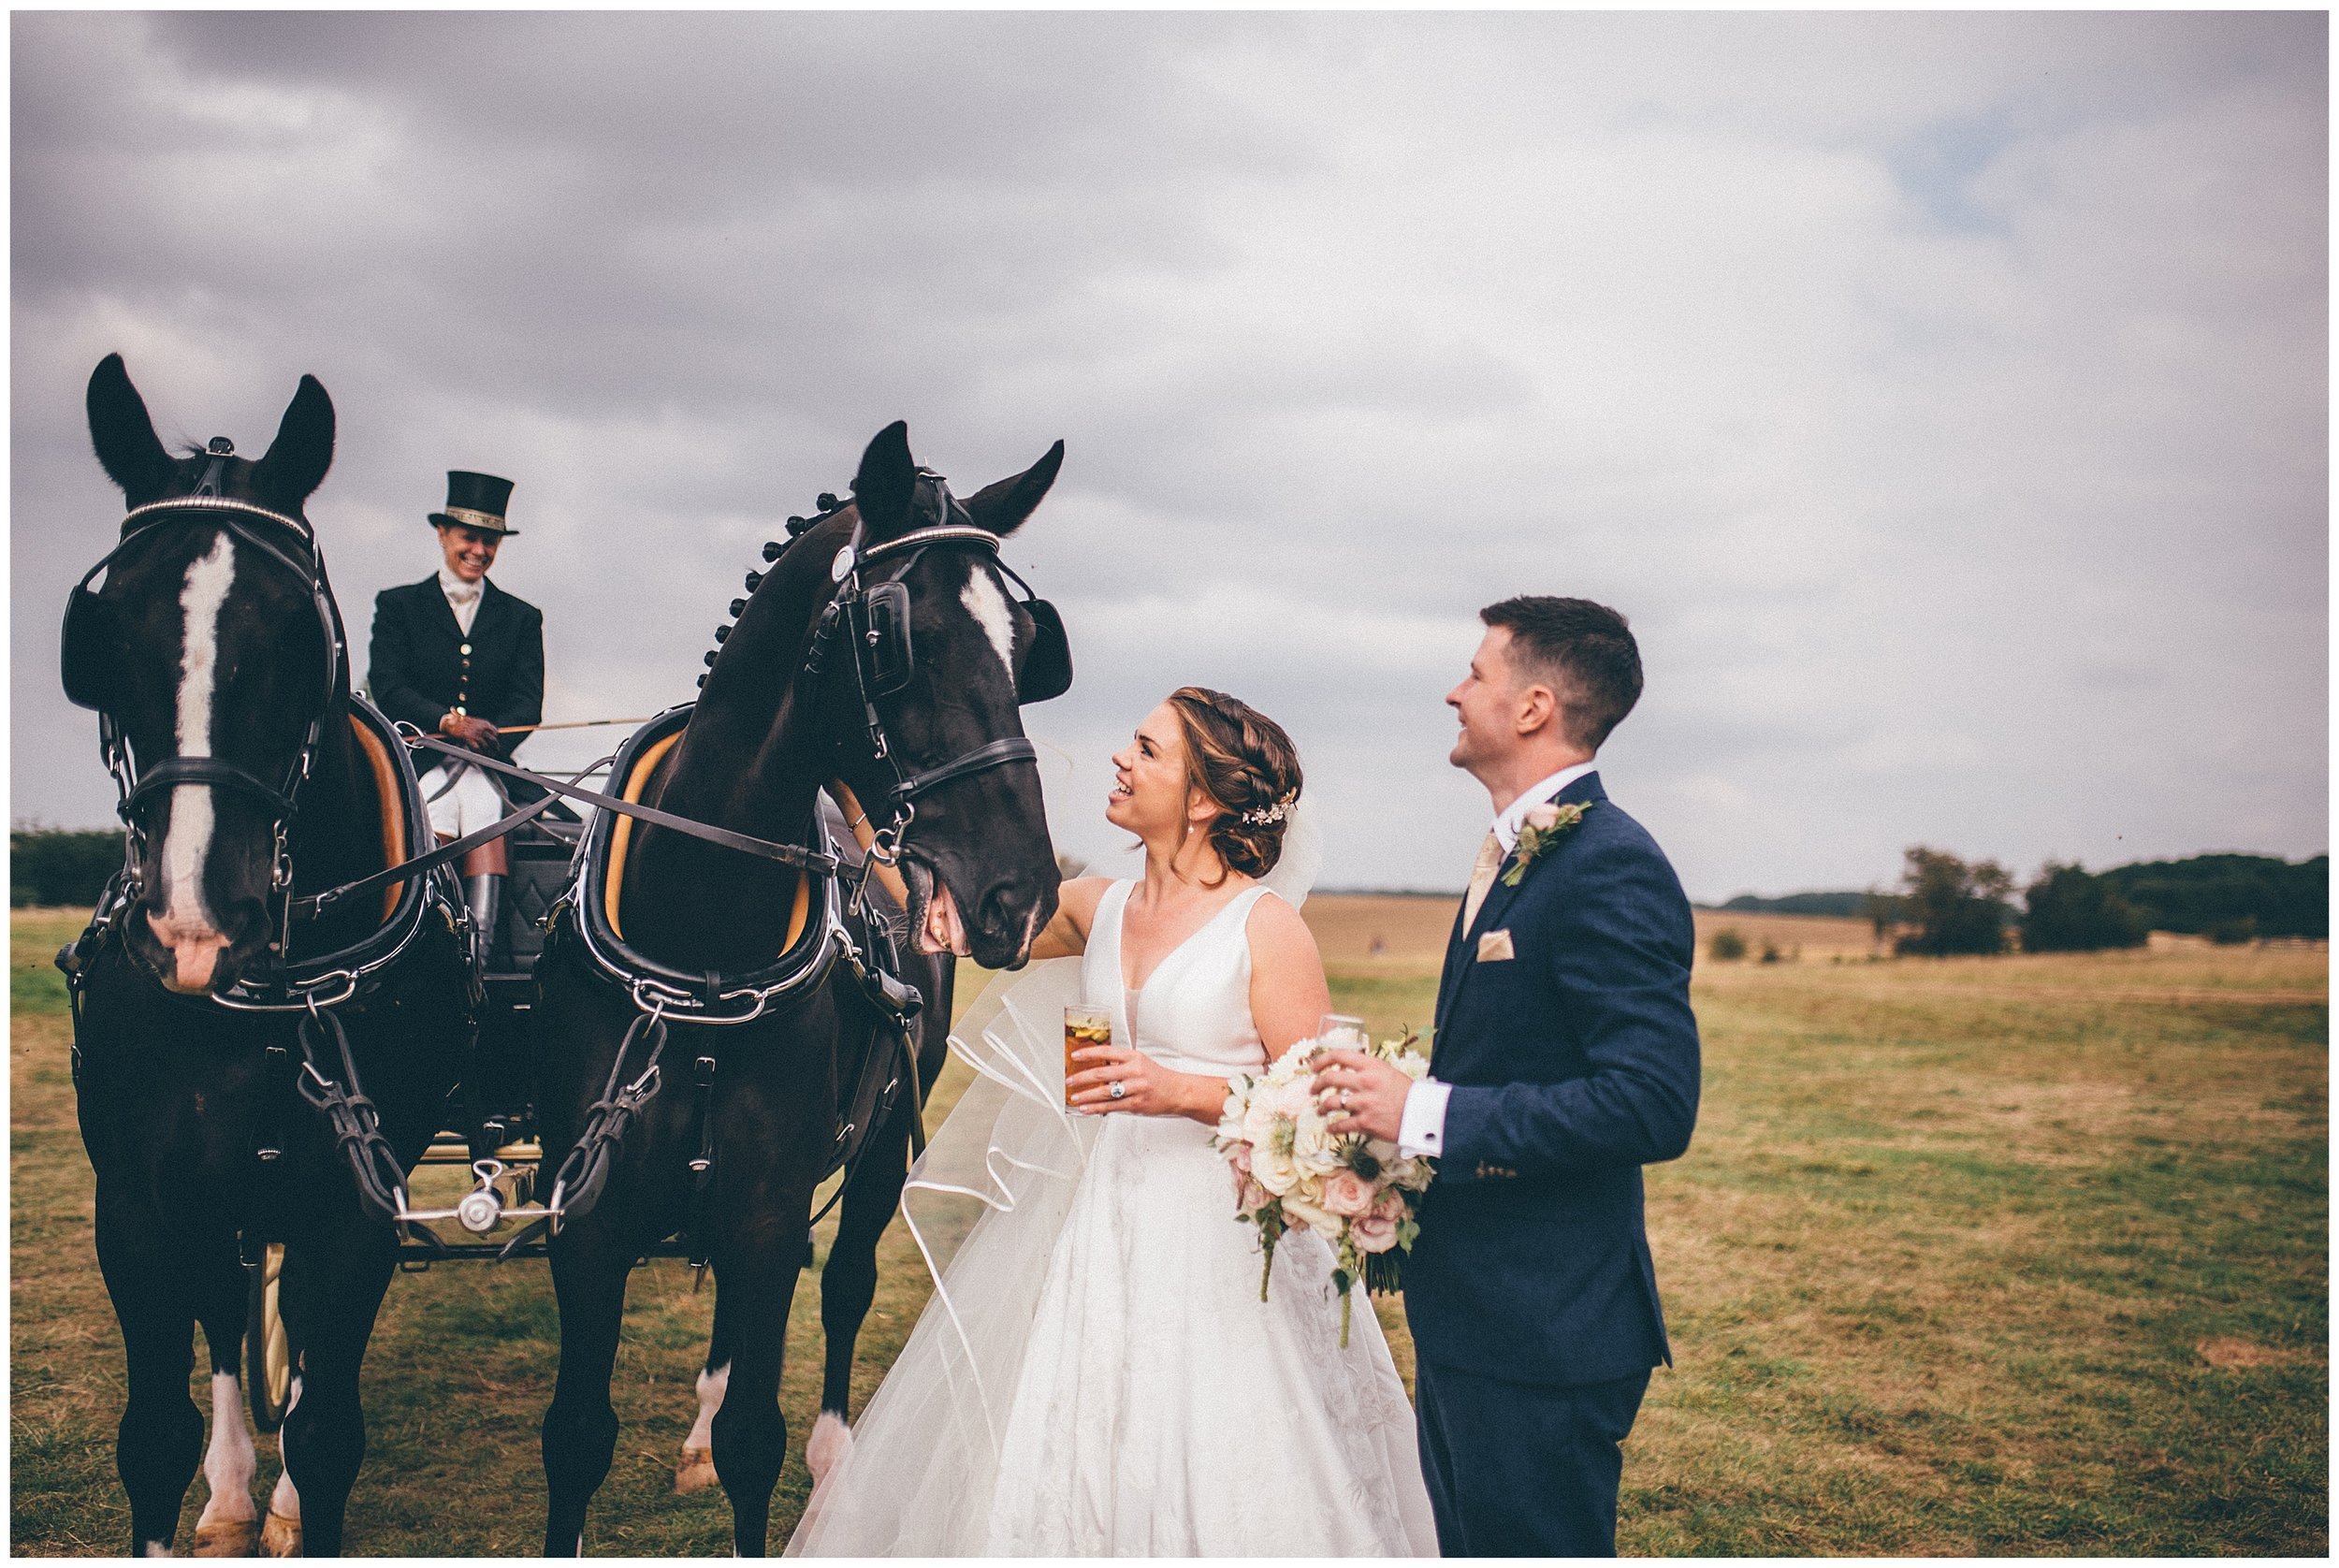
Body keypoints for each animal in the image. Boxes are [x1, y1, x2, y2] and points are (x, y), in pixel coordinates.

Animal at [61, 360, 472, 1562]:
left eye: (300, 634)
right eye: (105, 627)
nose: (196, 921)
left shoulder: (356, 1202)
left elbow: (329, 1428)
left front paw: (301, 1486)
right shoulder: (136, 1203)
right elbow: (153, 1430)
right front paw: (214, 1478)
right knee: (232, 1313)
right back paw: (238, 1483)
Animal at [535, 421, 1067, 1562]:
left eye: (1025, 644)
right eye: (898, 637)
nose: (1021, 894)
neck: (701, 939)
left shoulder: (772, 1211)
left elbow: (757, 1441)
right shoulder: (586, 1221)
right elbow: (576, 1437)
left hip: (876, 1149)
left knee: (846, 1284)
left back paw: (833, 1474)